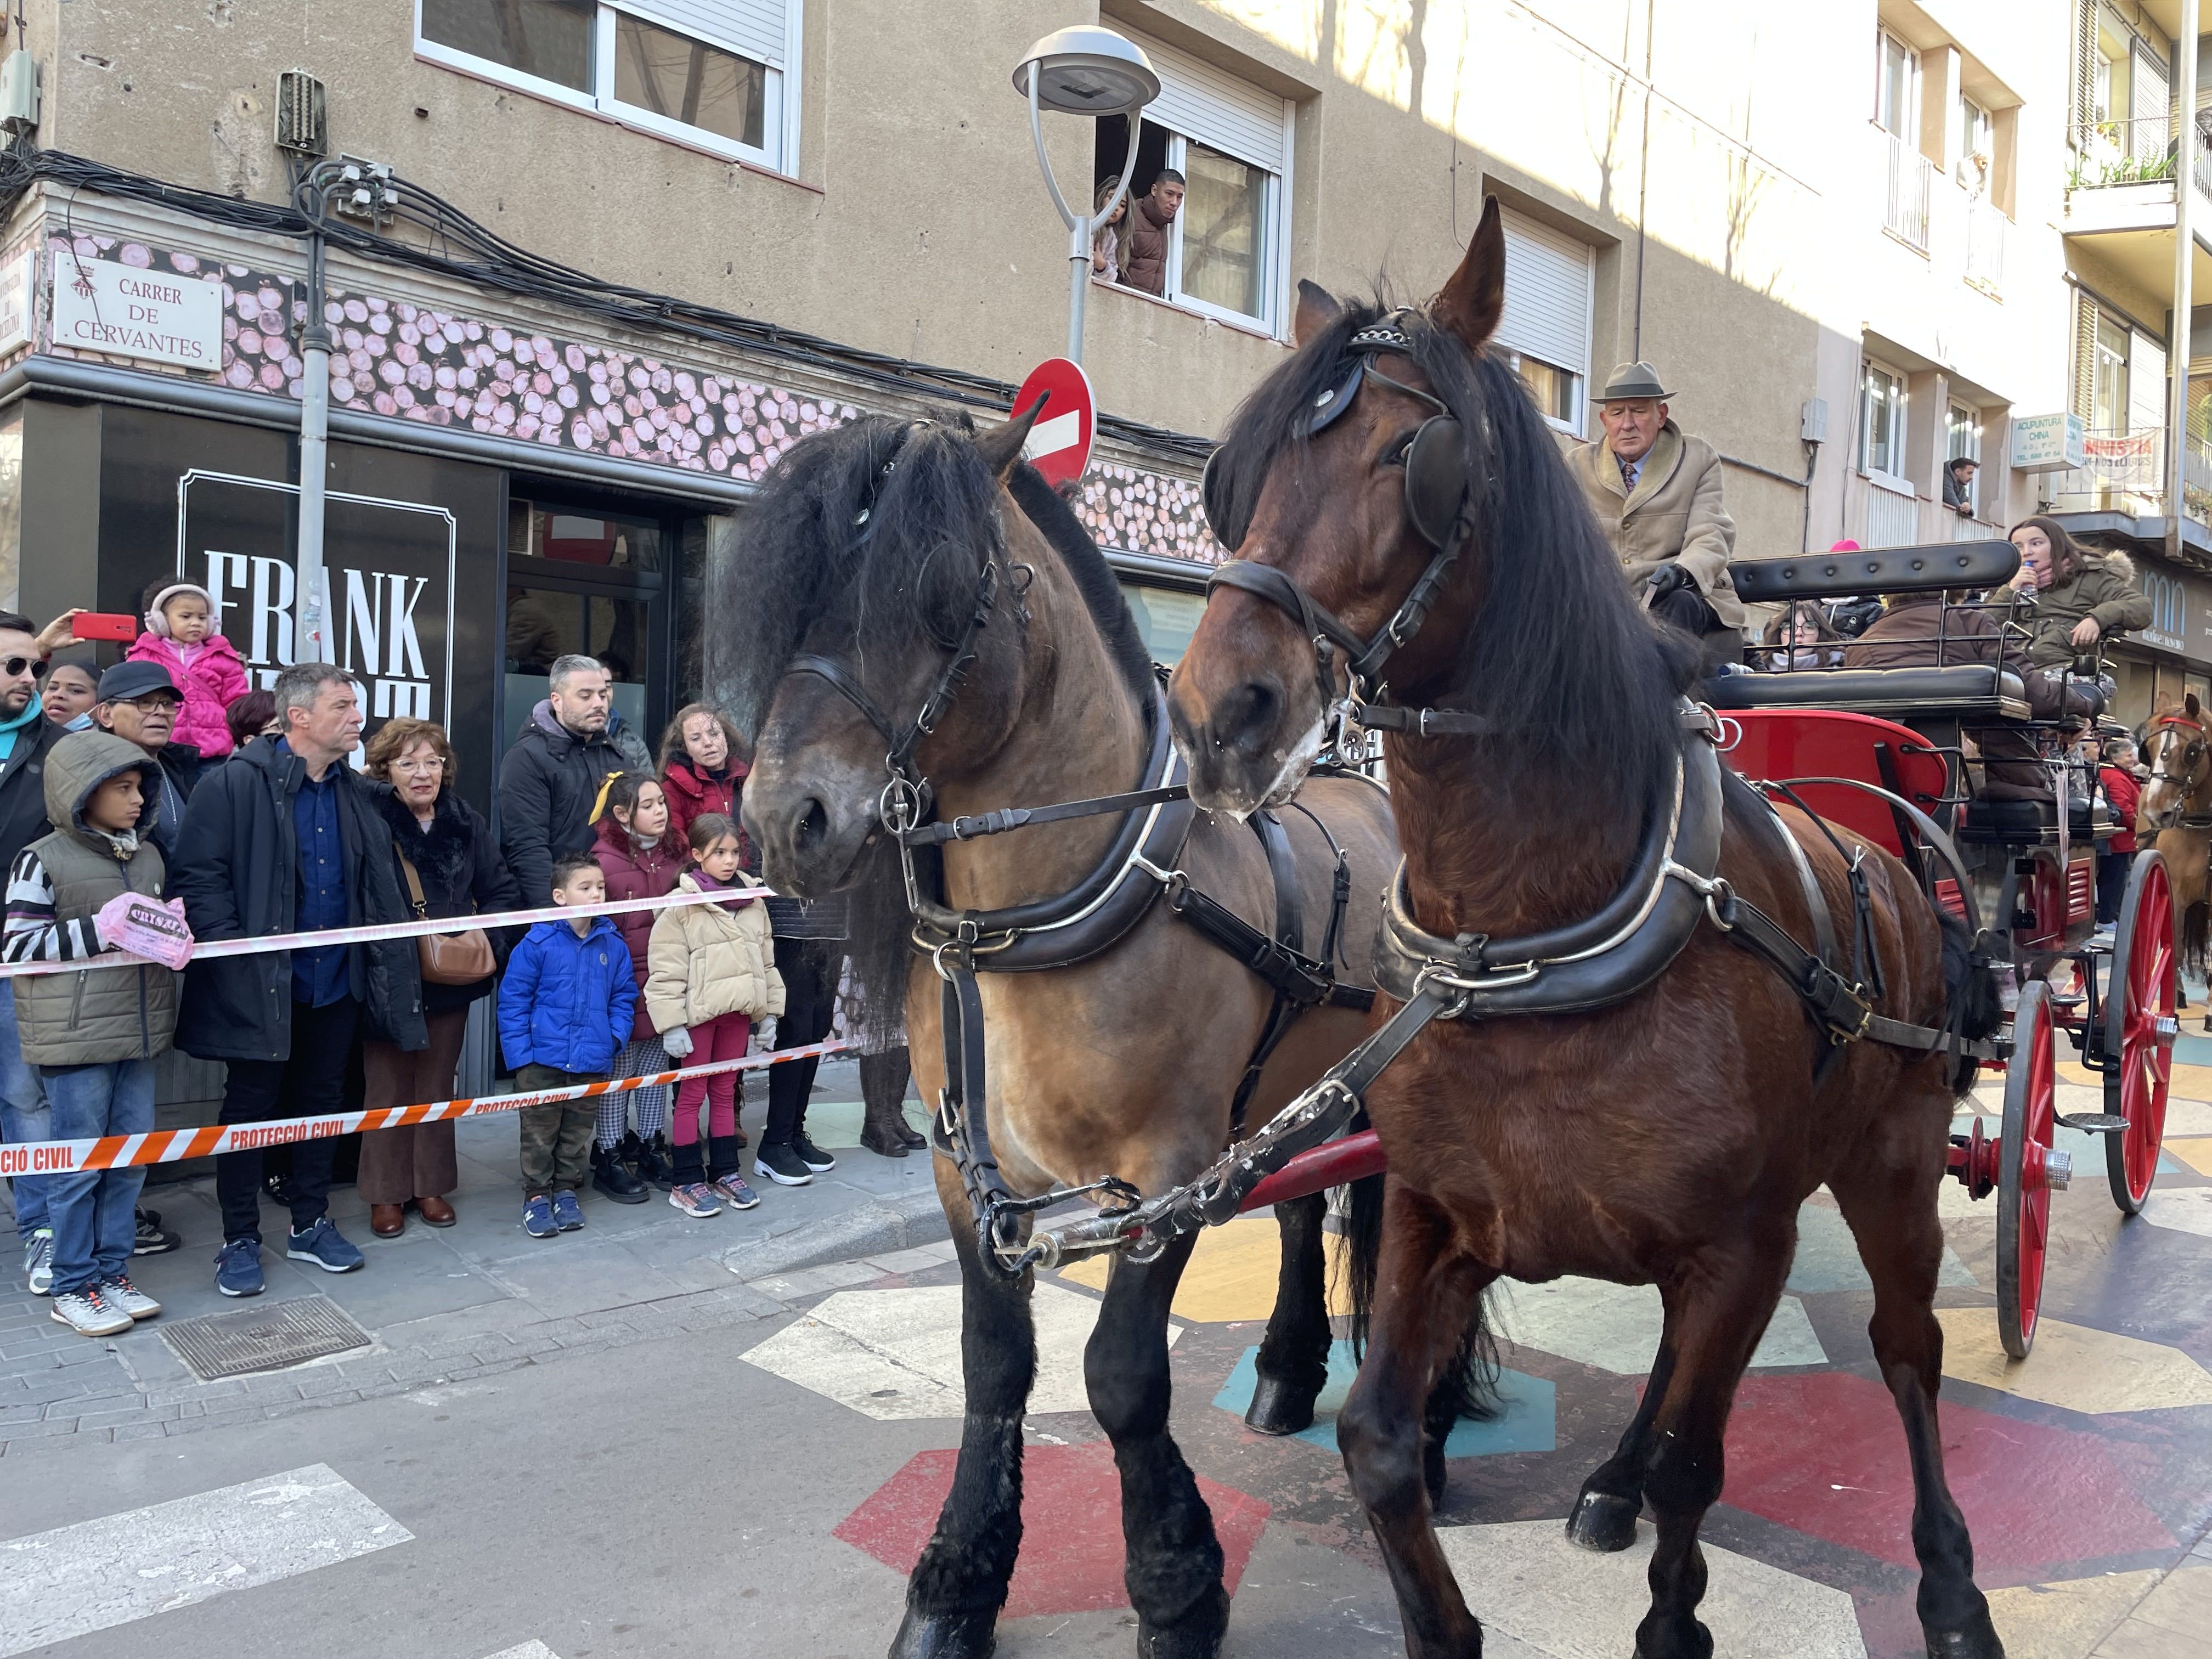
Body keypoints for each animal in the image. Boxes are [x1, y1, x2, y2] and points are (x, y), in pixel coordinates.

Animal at [734, 407, 1442, 1659]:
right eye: (795, 591)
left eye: (937, 593)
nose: (784, 820)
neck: (1048, 917)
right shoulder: (967, 1167)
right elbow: (992, 1364)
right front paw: (956, 1583)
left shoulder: (1164, 1171)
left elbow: (1119, 1376)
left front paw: (1177, 1585)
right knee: (1304, 1210)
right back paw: (1285, 1368)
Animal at [1167, 198, 2017, 1659]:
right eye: (1243, 469)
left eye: (1409, 456)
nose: (1221, 713)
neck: (1525, 938)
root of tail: (1889, 839)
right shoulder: (1437, 1213)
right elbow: (1379, 1441)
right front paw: (1445, 1614)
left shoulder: (1742, 1245)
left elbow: (1695, 1465)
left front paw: (1674, 1618)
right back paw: (1610, 1482)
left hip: (1897, 1164)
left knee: (1909, 1355)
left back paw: (1954, 1591)